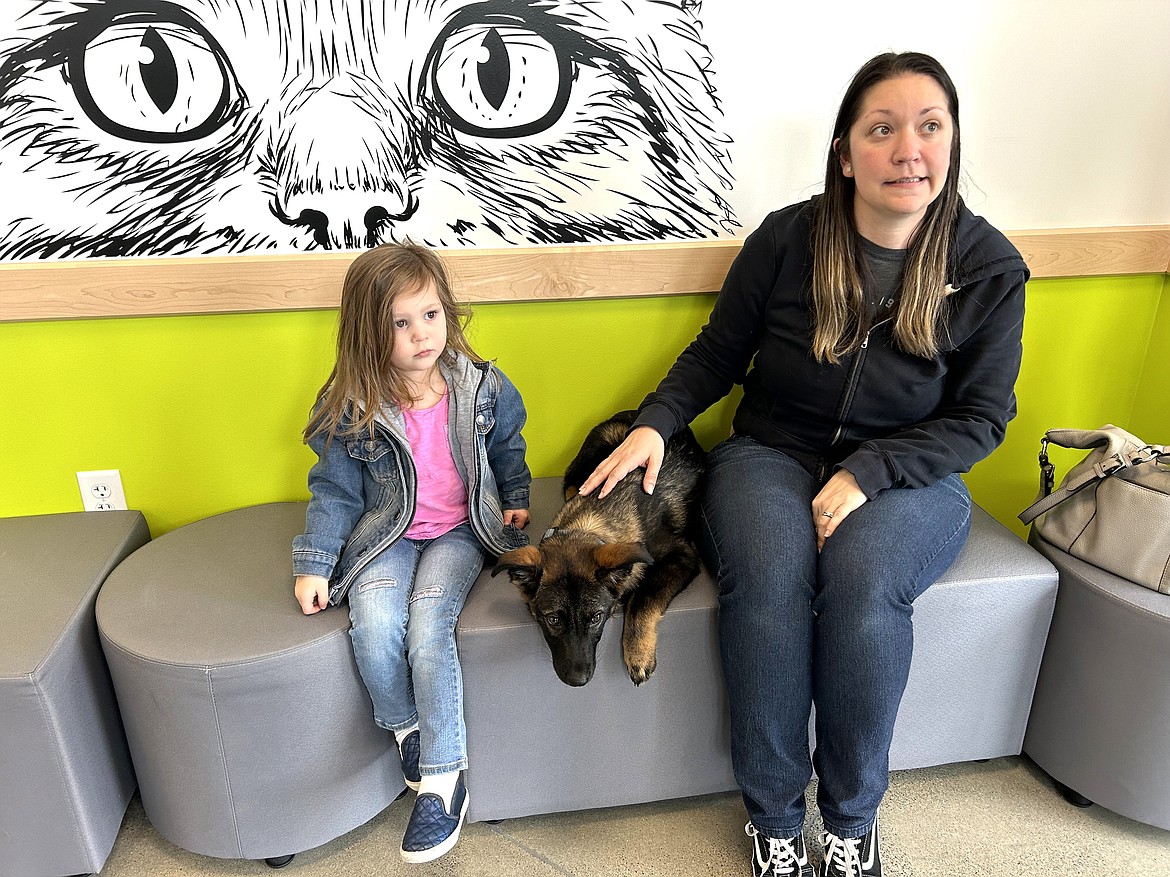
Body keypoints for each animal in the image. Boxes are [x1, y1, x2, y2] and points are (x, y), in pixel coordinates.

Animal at [491, 409, 702, 692]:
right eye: (553, 620)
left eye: (596, 618)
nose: (578, 681)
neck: (592, 522)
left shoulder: (683, 556)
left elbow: (643, 597)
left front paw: (638, 652)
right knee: (572, 481)